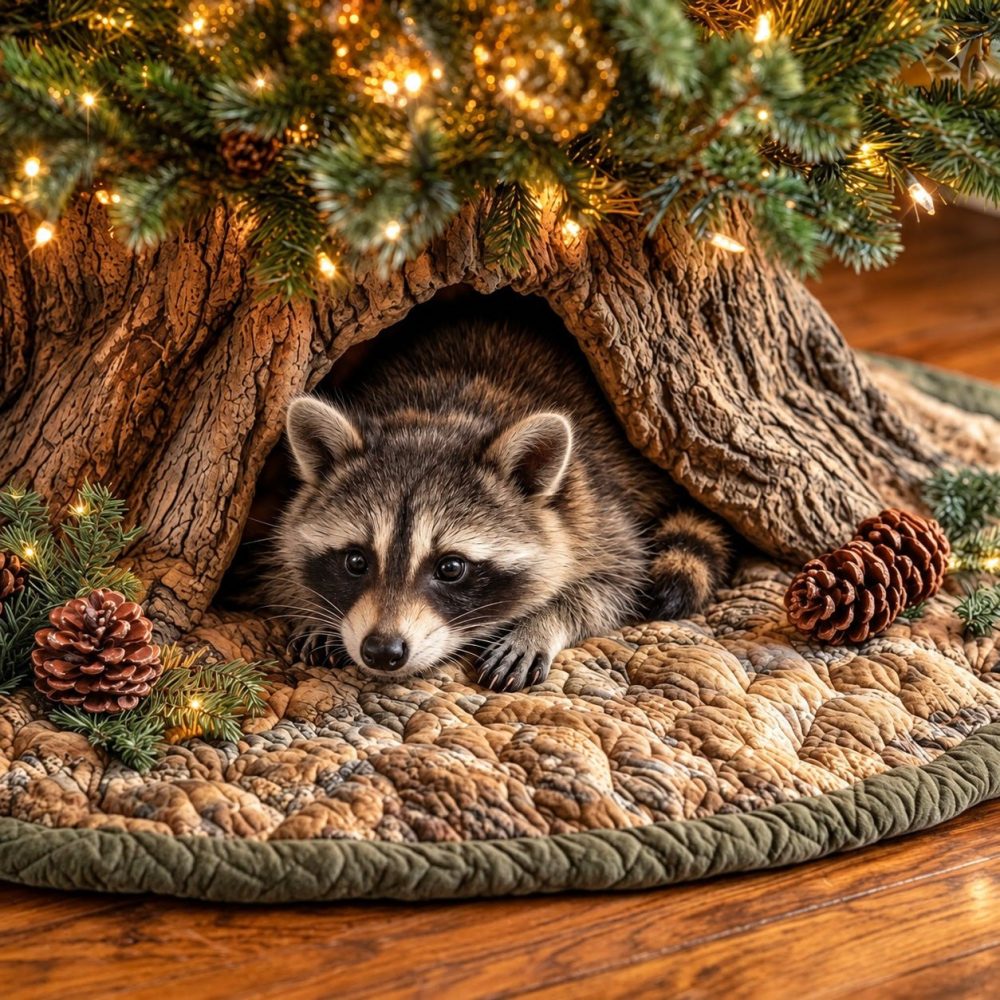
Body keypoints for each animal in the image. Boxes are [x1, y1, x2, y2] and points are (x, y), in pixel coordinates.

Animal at [272, 320, 729, 692]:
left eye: (451, 568)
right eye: (356, 561)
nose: (383, 651)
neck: (438, 416)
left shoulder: (592, 509)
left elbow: (613, 584)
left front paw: (542, 623)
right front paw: (310, 608)